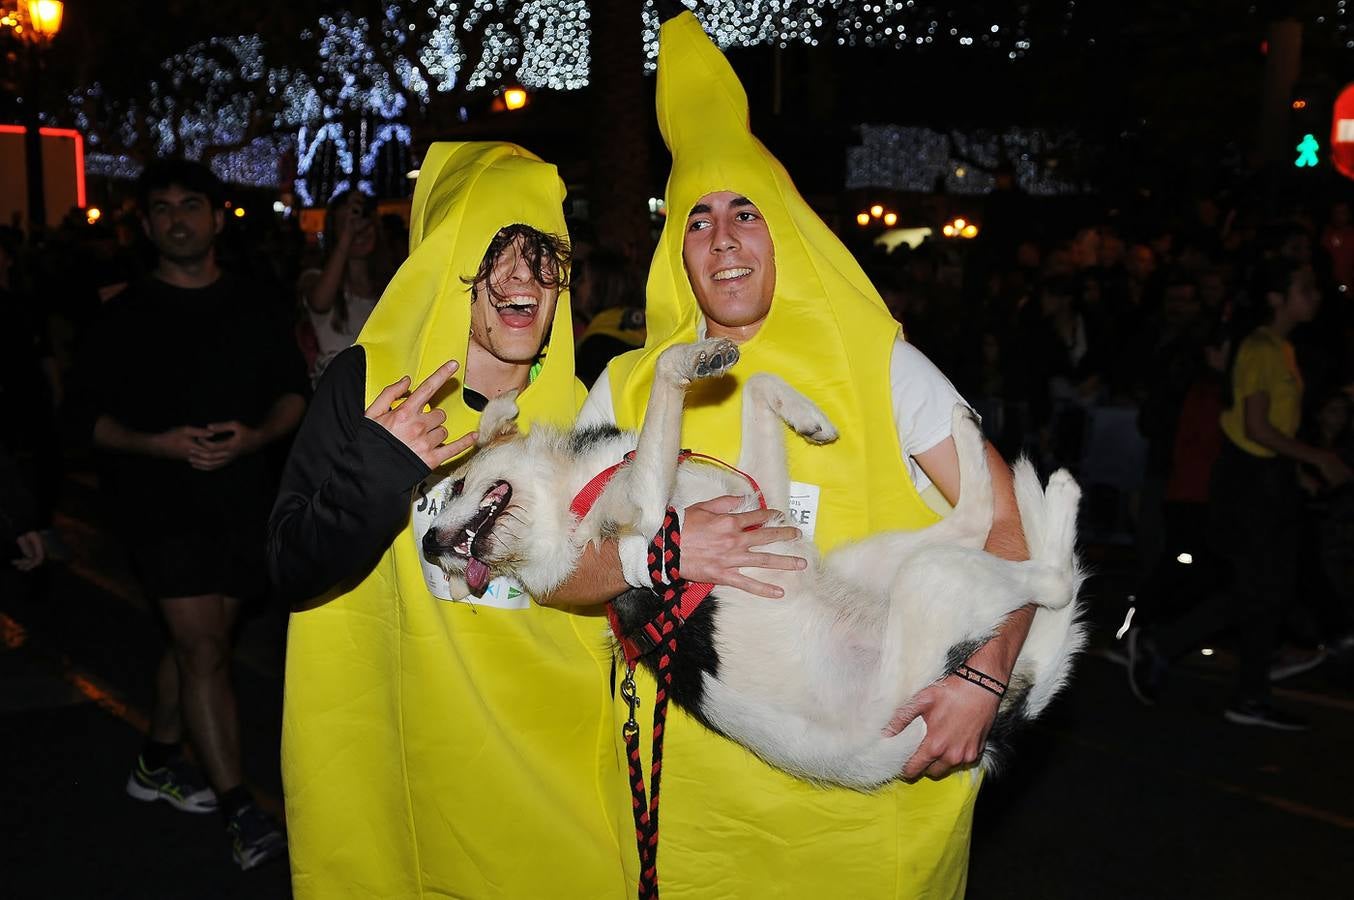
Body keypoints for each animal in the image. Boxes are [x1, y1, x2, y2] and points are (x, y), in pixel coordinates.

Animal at [427, 336, 1083, 784]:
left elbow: (760, 382)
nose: (431, 544)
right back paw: (1058, 499)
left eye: (453, 486)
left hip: (860, 559)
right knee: (1050, 582)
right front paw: (694, 360)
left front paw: (810, 418)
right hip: (932, 585)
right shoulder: (647, 512)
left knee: (977, 519)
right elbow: (668, 374)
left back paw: (979, 437)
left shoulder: (763, 502)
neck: (571, 491)